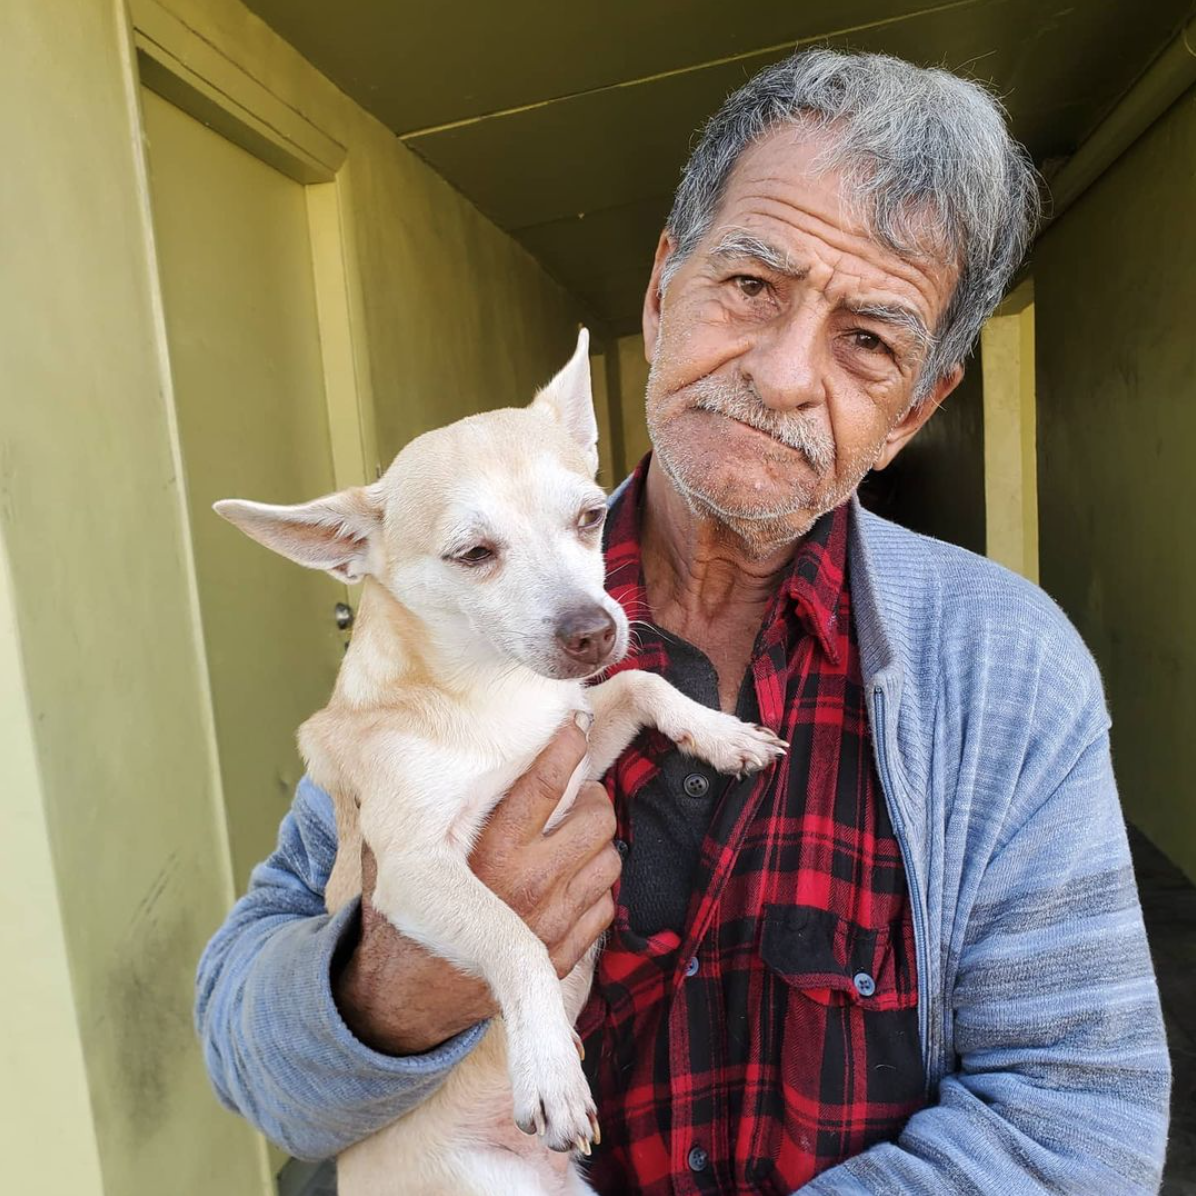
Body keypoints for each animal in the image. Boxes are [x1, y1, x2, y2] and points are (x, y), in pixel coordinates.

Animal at [217, 330, 784, 1196]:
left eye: (590, 518)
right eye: (473, 554)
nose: (595, 629)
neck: (488, 695)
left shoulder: (574, 745)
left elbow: (640, 683)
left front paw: (722, 733)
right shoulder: (413, 868)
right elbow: (514, 935)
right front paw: (550, 1069)